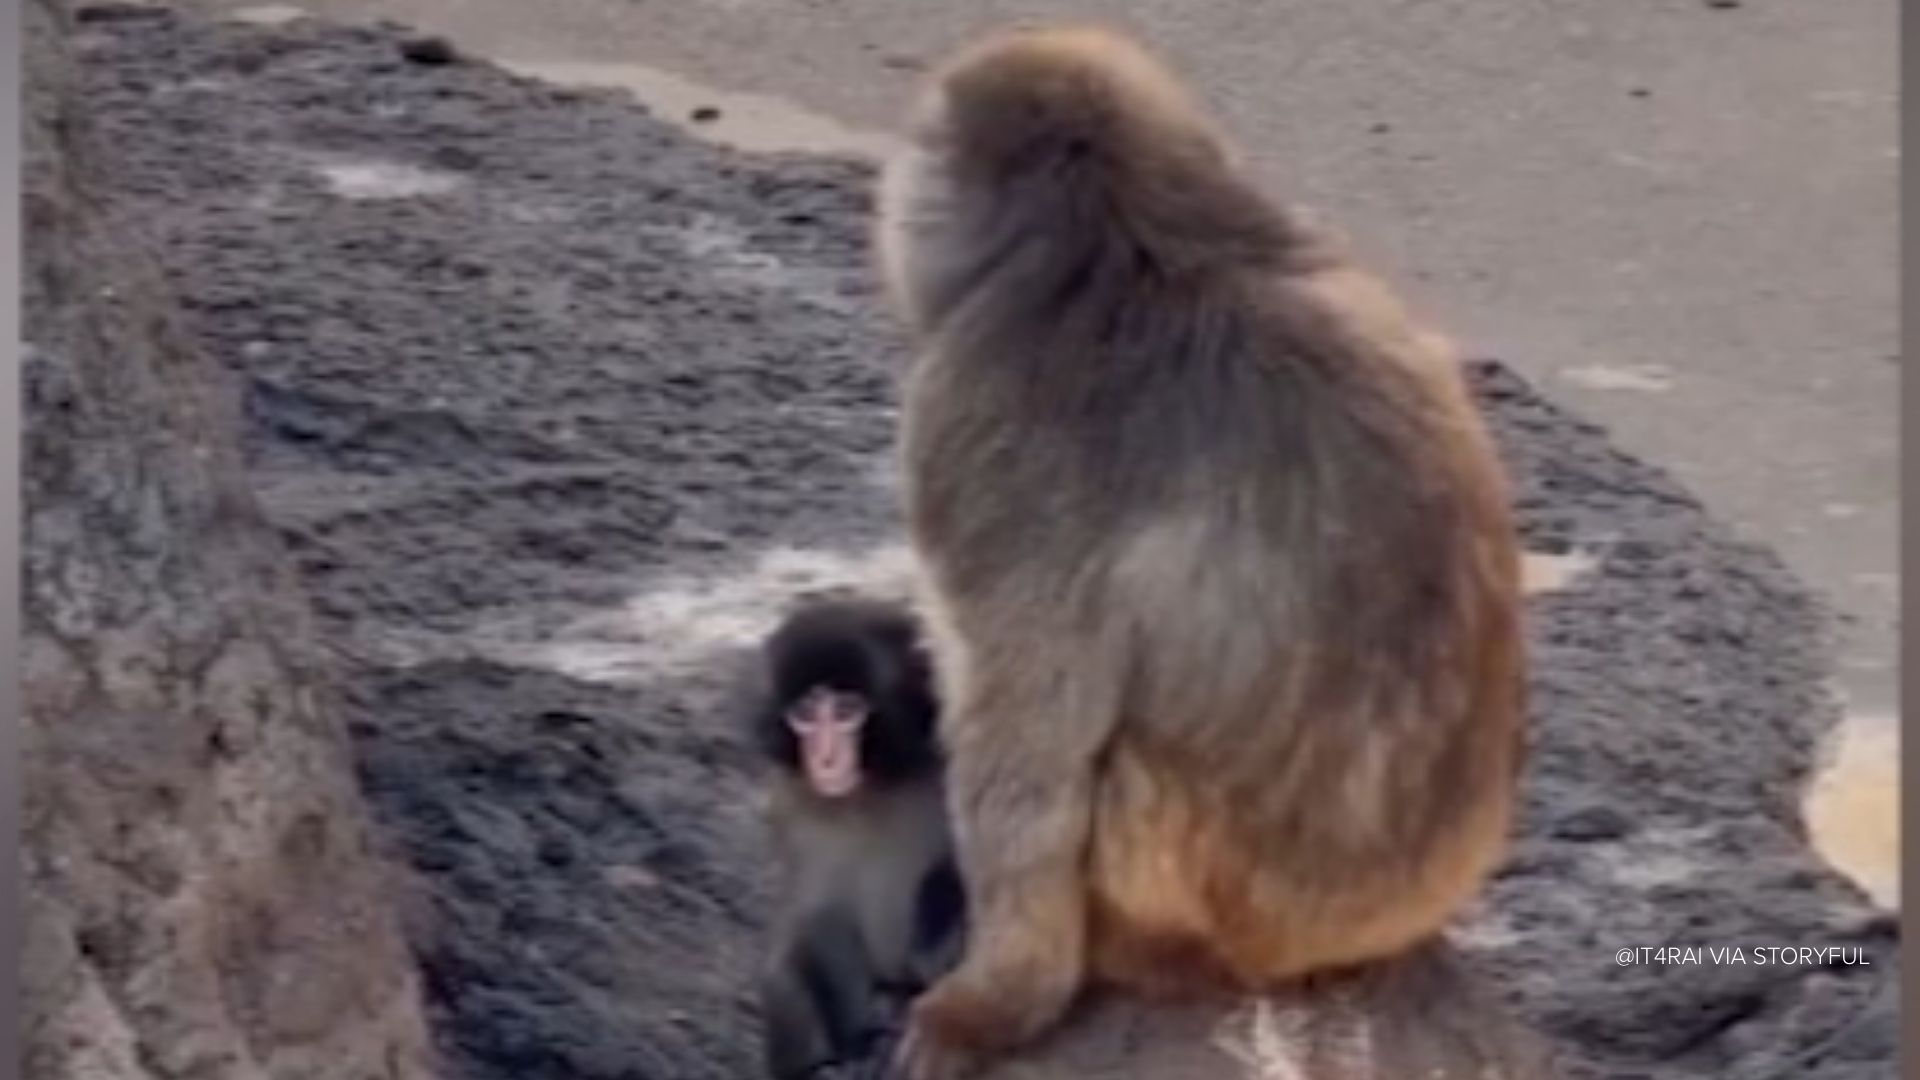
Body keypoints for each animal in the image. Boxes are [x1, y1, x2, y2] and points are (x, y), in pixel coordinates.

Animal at [746, 597, 970, 1079]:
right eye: (806, 714)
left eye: (848, 710)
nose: (827, 759)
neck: (871, 780)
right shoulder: (789, 800)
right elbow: (819, 911)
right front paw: (856, 1042)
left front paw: (933, 943)